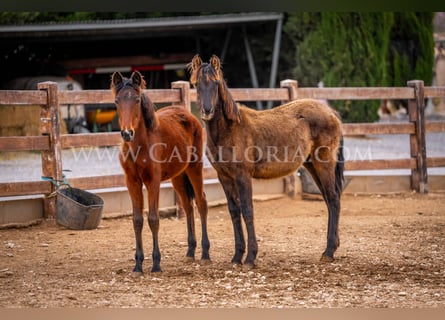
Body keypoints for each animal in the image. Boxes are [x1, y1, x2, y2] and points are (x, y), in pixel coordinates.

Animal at [110, 70, 209, 272]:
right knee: (188, 206)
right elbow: (137, 220)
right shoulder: (132, 182)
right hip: (178, 176)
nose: (127, 133)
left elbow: (154, 219)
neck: (140, 146)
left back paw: (204, 254)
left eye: (137, 100)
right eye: (117, 101)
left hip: (195, 168)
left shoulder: (152, 182)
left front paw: (156, 263)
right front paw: (138, 265)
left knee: (201, 202)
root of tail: (189, 115)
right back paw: (190, 252)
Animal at [187, 54, 344, 268]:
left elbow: (247, 210)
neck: (229, 129)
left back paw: (328, 251)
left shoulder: (243, 176)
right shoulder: (224, 177)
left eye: (215, 82)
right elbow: (234, 212)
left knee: (334, 199)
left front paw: (250, 258)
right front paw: (237, 256)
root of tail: (331, 113)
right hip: (312, 165)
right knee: (329, 200)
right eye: (195, 84)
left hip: (324, 164)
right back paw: (331, 248)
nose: (207, 111)